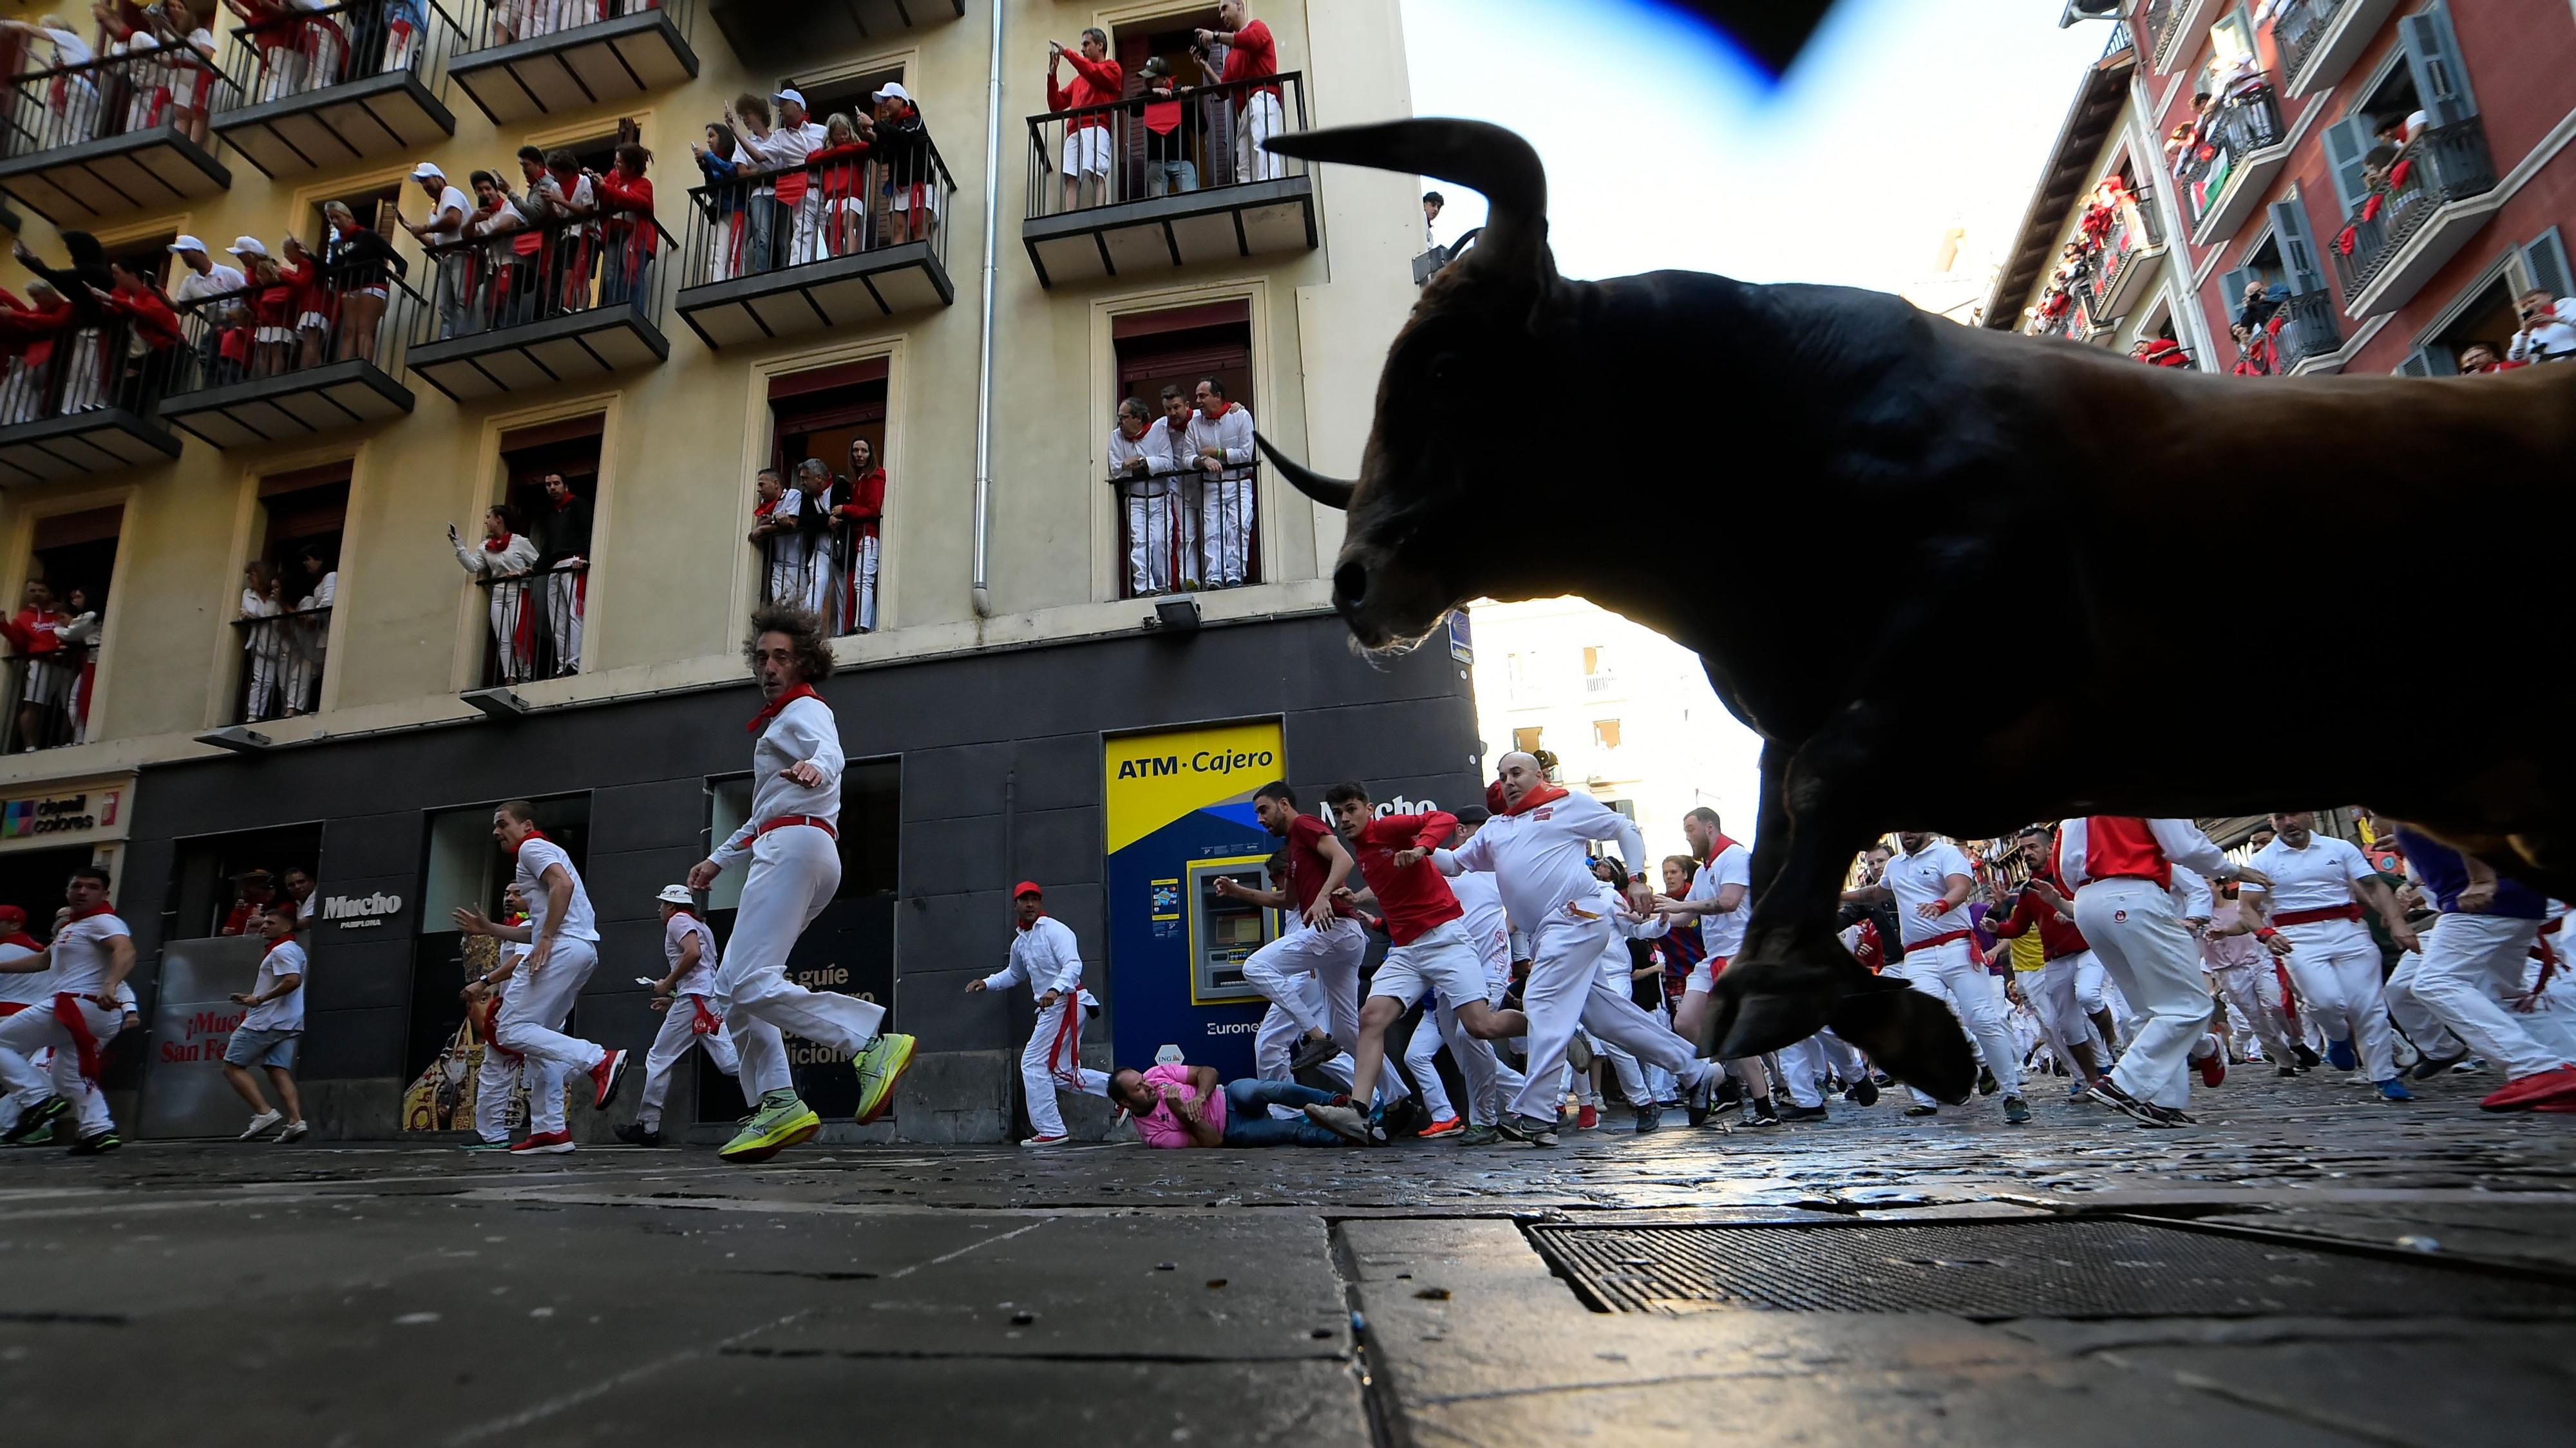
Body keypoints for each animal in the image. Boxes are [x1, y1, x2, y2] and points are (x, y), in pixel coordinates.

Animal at [1252, 118, 2576, 1097]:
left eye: (1444, 366)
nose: (1358, 579)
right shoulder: (1806, 711)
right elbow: (1787, 830)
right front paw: (1860, 1007)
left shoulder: (1986, 621)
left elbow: (1824, 792)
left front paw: (1805, 995)